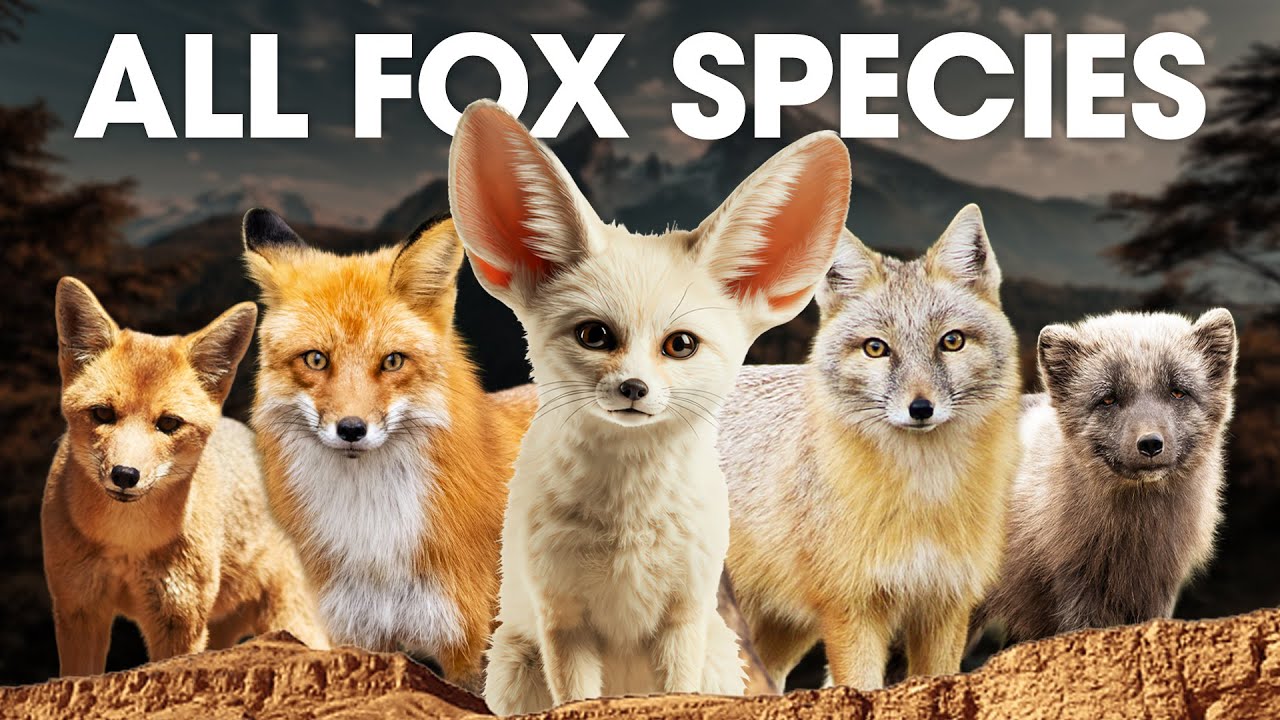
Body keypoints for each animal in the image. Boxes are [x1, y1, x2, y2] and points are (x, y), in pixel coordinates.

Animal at [42, 277, 327, 677]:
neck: (126, 541)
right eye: (102, 414)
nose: (125, 475)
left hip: (289, 620)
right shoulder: (78, 608)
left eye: (169, 424)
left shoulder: (180, 620)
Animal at [243, 210, 537, 692]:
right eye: (316, 359)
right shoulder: (362, 635)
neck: (374, 538)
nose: (351, 429)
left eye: (392, 361)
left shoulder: (473, 648)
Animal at [447, 100, 851, 714]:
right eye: (594, 335)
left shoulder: (682, 617)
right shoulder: (563, 621)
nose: (634, 388)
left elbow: (675, 693)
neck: (627, 525)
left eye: (679, 345)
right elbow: (577, 702)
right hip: (517, 662)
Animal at [717, 205, 1022, 691]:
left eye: (951, 341)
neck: (922, 498)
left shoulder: (945, 606)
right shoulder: (853, 610)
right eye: (876, 348)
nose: (921, 408)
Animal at [975, 310, 1237, 644]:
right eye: (1108, 399)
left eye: (1178, 392)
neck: (1133, 538)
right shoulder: (1076, 589)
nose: (1150, 444)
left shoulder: (1157, 592)